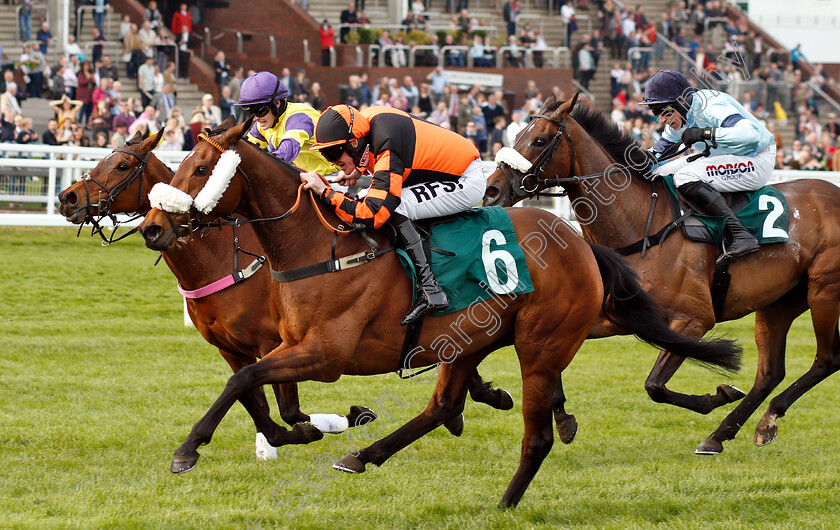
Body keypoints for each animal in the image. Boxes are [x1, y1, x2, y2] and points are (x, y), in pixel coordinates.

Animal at [57, 128, 512, 450]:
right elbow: (257, 403)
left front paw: (342, 419)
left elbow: (287, 407)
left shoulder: (273, 341)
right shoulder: (232, 348)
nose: (68, 197)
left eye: (120, 166)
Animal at [135, 117, 740, 506]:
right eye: (181, 165)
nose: (154, 228)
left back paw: (505, 502)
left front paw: (187, 450)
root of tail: (579, 242)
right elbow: (250, 387)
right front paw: (290, 436)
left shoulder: (324, 354)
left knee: (536, 435)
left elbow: (243, 382)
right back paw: (365, 455)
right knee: (441, 407)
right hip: (472, 341)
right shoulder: (285, 344)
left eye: (200, 169)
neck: (315, 245)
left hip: (541, 346)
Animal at [482, 92, 840, 454]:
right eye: (517, 134)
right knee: (770, 372)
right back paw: (727, 432)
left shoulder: (694, 320)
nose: (492, 190)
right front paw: (562, 418)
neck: (642, 225)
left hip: (824, 290)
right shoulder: (611, 315)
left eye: (539, 140)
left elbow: (654, 385)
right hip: (779, 301)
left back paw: (763, 417)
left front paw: (717, 396)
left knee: (827, 359)